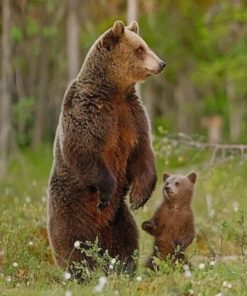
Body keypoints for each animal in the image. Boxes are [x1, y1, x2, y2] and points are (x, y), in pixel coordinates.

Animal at [47, 19, 165, 276]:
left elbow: (142, 152)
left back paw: (124, 269)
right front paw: (107, 191)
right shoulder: (88, 113)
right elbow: (82, 150)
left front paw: (139, 196)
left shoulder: (132, 116)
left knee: (126, 240)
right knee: (72, 244)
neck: (114, 92)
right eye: (140, 48)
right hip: (69, 207)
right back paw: (82, 273)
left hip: (119, 218)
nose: (161, 63)